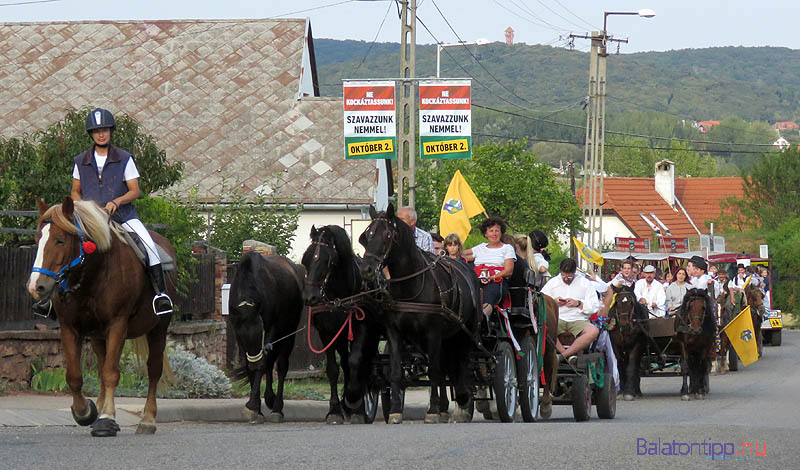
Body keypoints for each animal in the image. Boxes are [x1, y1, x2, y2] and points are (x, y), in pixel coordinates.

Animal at [27, 196, 174, 436]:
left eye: (60, 240)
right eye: (38, 238)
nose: (36, 286)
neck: (92, 275)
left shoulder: (117, 325)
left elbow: (111, 373)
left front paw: (106, 418)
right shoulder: (70, 328)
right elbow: (75, 376)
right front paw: (85, 412)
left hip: (159, 328)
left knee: (153, 370)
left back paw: (147, 419)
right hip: (98, 336)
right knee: (102, 365)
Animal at [304, 226, 384, 424]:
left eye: (327, 260)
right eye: (306, 258)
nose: (310, 297)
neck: (340, 295)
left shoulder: (362, 328)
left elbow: (356, 360)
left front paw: (355, 401)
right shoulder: (327, 333)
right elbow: (333, 369)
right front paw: (335, 409)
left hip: (372, 335)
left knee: (364, 362)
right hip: (340, 336)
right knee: (346, 362)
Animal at [358, 204, 482, 424]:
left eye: (387, 235)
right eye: (366, 236)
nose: (366, 270)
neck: (411, 284)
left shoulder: (433, 332)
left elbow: (433, 371)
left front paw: (432, 411)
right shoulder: (394, 332)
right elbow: (396, 372)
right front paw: (395, 411)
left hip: (465, 332)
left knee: (461, 364)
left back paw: (462, 401)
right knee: (447, 367)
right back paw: (445, 407)